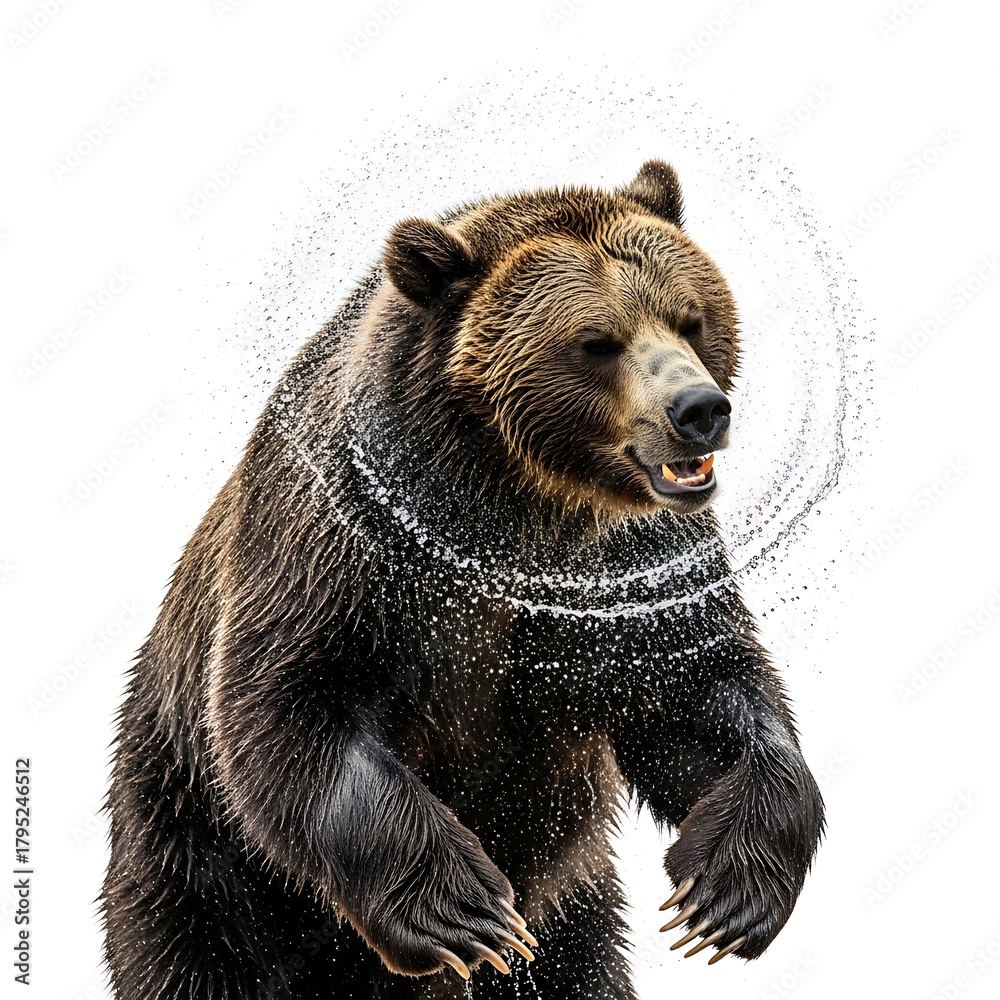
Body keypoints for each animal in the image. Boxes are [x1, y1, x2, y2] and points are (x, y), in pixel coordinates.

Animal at [101, 159, 825, 999]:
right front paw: (463, 912)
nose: (700, 409)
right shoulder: (347, 550)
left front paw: (726, 894)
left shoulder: (632, 567)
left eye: (690, 317)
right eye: (596, 341)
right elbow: (290, 704)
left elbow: (698, 692)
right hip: (195, 856)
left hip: (573, 906)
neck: (519, 501)